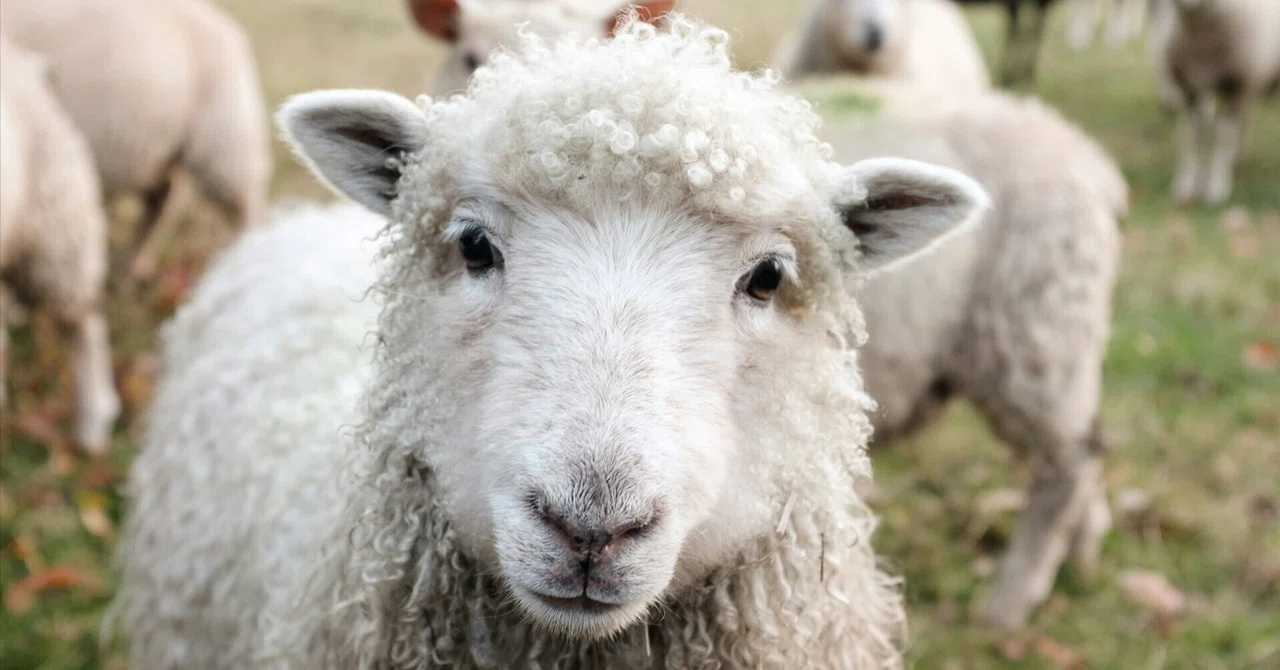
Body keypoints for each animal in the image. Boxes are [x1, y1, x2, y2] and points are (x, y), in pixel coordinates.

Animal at [0, 0, 272, 277]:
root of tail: (230, 32)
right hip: (160, 150)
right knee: (162, 200)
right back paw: (132, 264)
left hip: (224, 139)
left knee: (245, 206)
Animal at [787, 75, 1126, 629]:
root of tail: (1094, 163)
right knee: (1087, 446)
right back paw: (1084, 551)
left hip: (1034, 332)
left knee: (1069, 465)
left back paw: (1012, 601)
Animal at [1148, 0, 1280, 204]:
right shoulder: (1190, 90)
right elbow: (1189, 137)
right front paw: (1185, 187)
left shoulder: (1235, 87)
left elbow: (1223, 138)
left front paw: (1216, 188)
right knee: (1246, 117)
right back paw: (1239, 157)